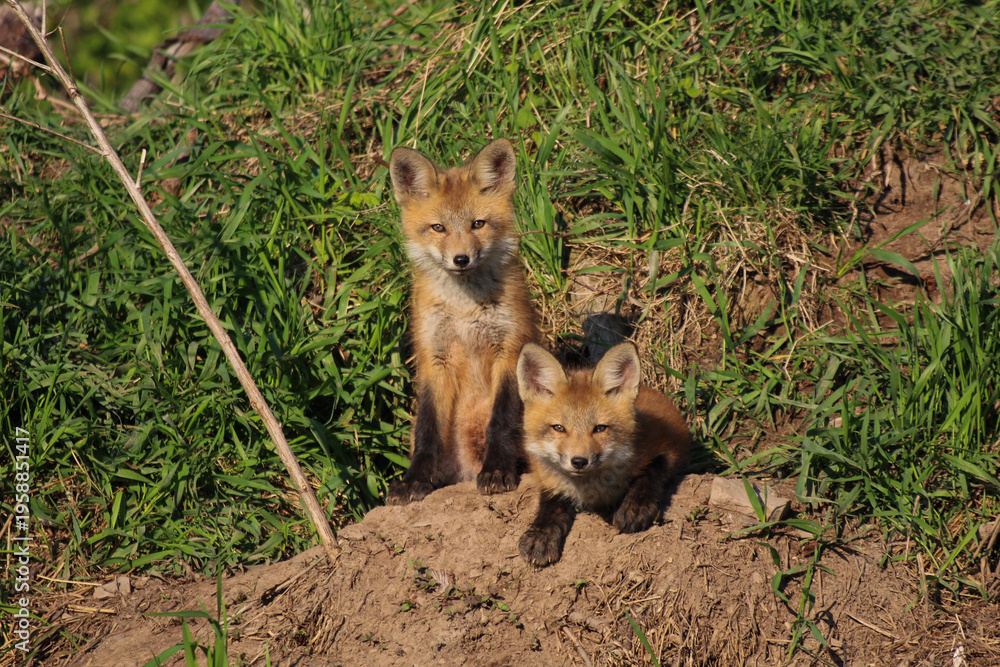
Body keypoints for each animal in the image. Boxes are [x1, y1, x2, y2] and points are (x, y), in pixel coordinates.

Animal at [385, 139, 540, 505]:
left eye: (478, 224)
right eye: (438, 227)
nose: (461, 259)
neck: (464, 310)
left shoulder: (510, 348)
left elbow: (501, 422)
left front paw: (497, 471)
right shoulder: (434, 356)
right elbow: (427, 429)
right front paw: (415, 479)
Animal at [515, 342, 689, 566]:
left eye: (599, 428)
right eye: (559, 428)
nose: (579, 461)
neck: (591, 489)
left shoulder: (669, 445)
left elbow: (651, 472)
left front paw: (635, 507)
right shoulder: (547, 475)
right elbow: (552, 501)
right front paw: (542, 533)